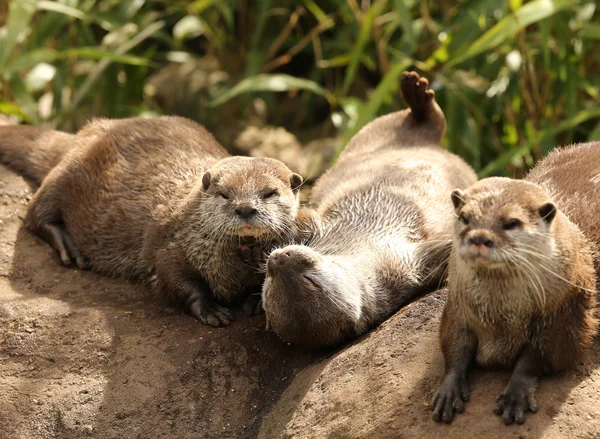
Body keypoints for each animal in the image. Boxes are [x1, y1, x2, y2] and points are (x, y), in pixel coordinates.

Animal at [0, 116, 308, 326]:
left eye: (269, 193)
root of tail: (92, 130)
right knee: (36, 212)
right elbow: (175, 278)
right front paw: (210, 310)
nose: (245, 208)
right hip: (67, 172)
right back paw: (69, 247)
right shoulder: (174, 245)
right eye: (224, 194)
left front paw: (257, 301)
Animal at [262, 72, 478, 350]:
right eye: (271, 286)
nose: (279, 257)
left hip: (374, 133)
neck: (361, 244)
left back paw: (415, 92)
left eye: (310, 279)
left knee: (424, 123)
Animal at [434, 143, 596, 424]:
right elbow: (454, 345)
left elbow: (537, 357)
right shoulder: (457, 305)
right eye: (465, 218)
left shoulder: (564, 313)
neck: (500, 317)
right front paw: (449, 389)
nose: (479, 238)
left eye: (511, 223)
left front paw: (516, 394)